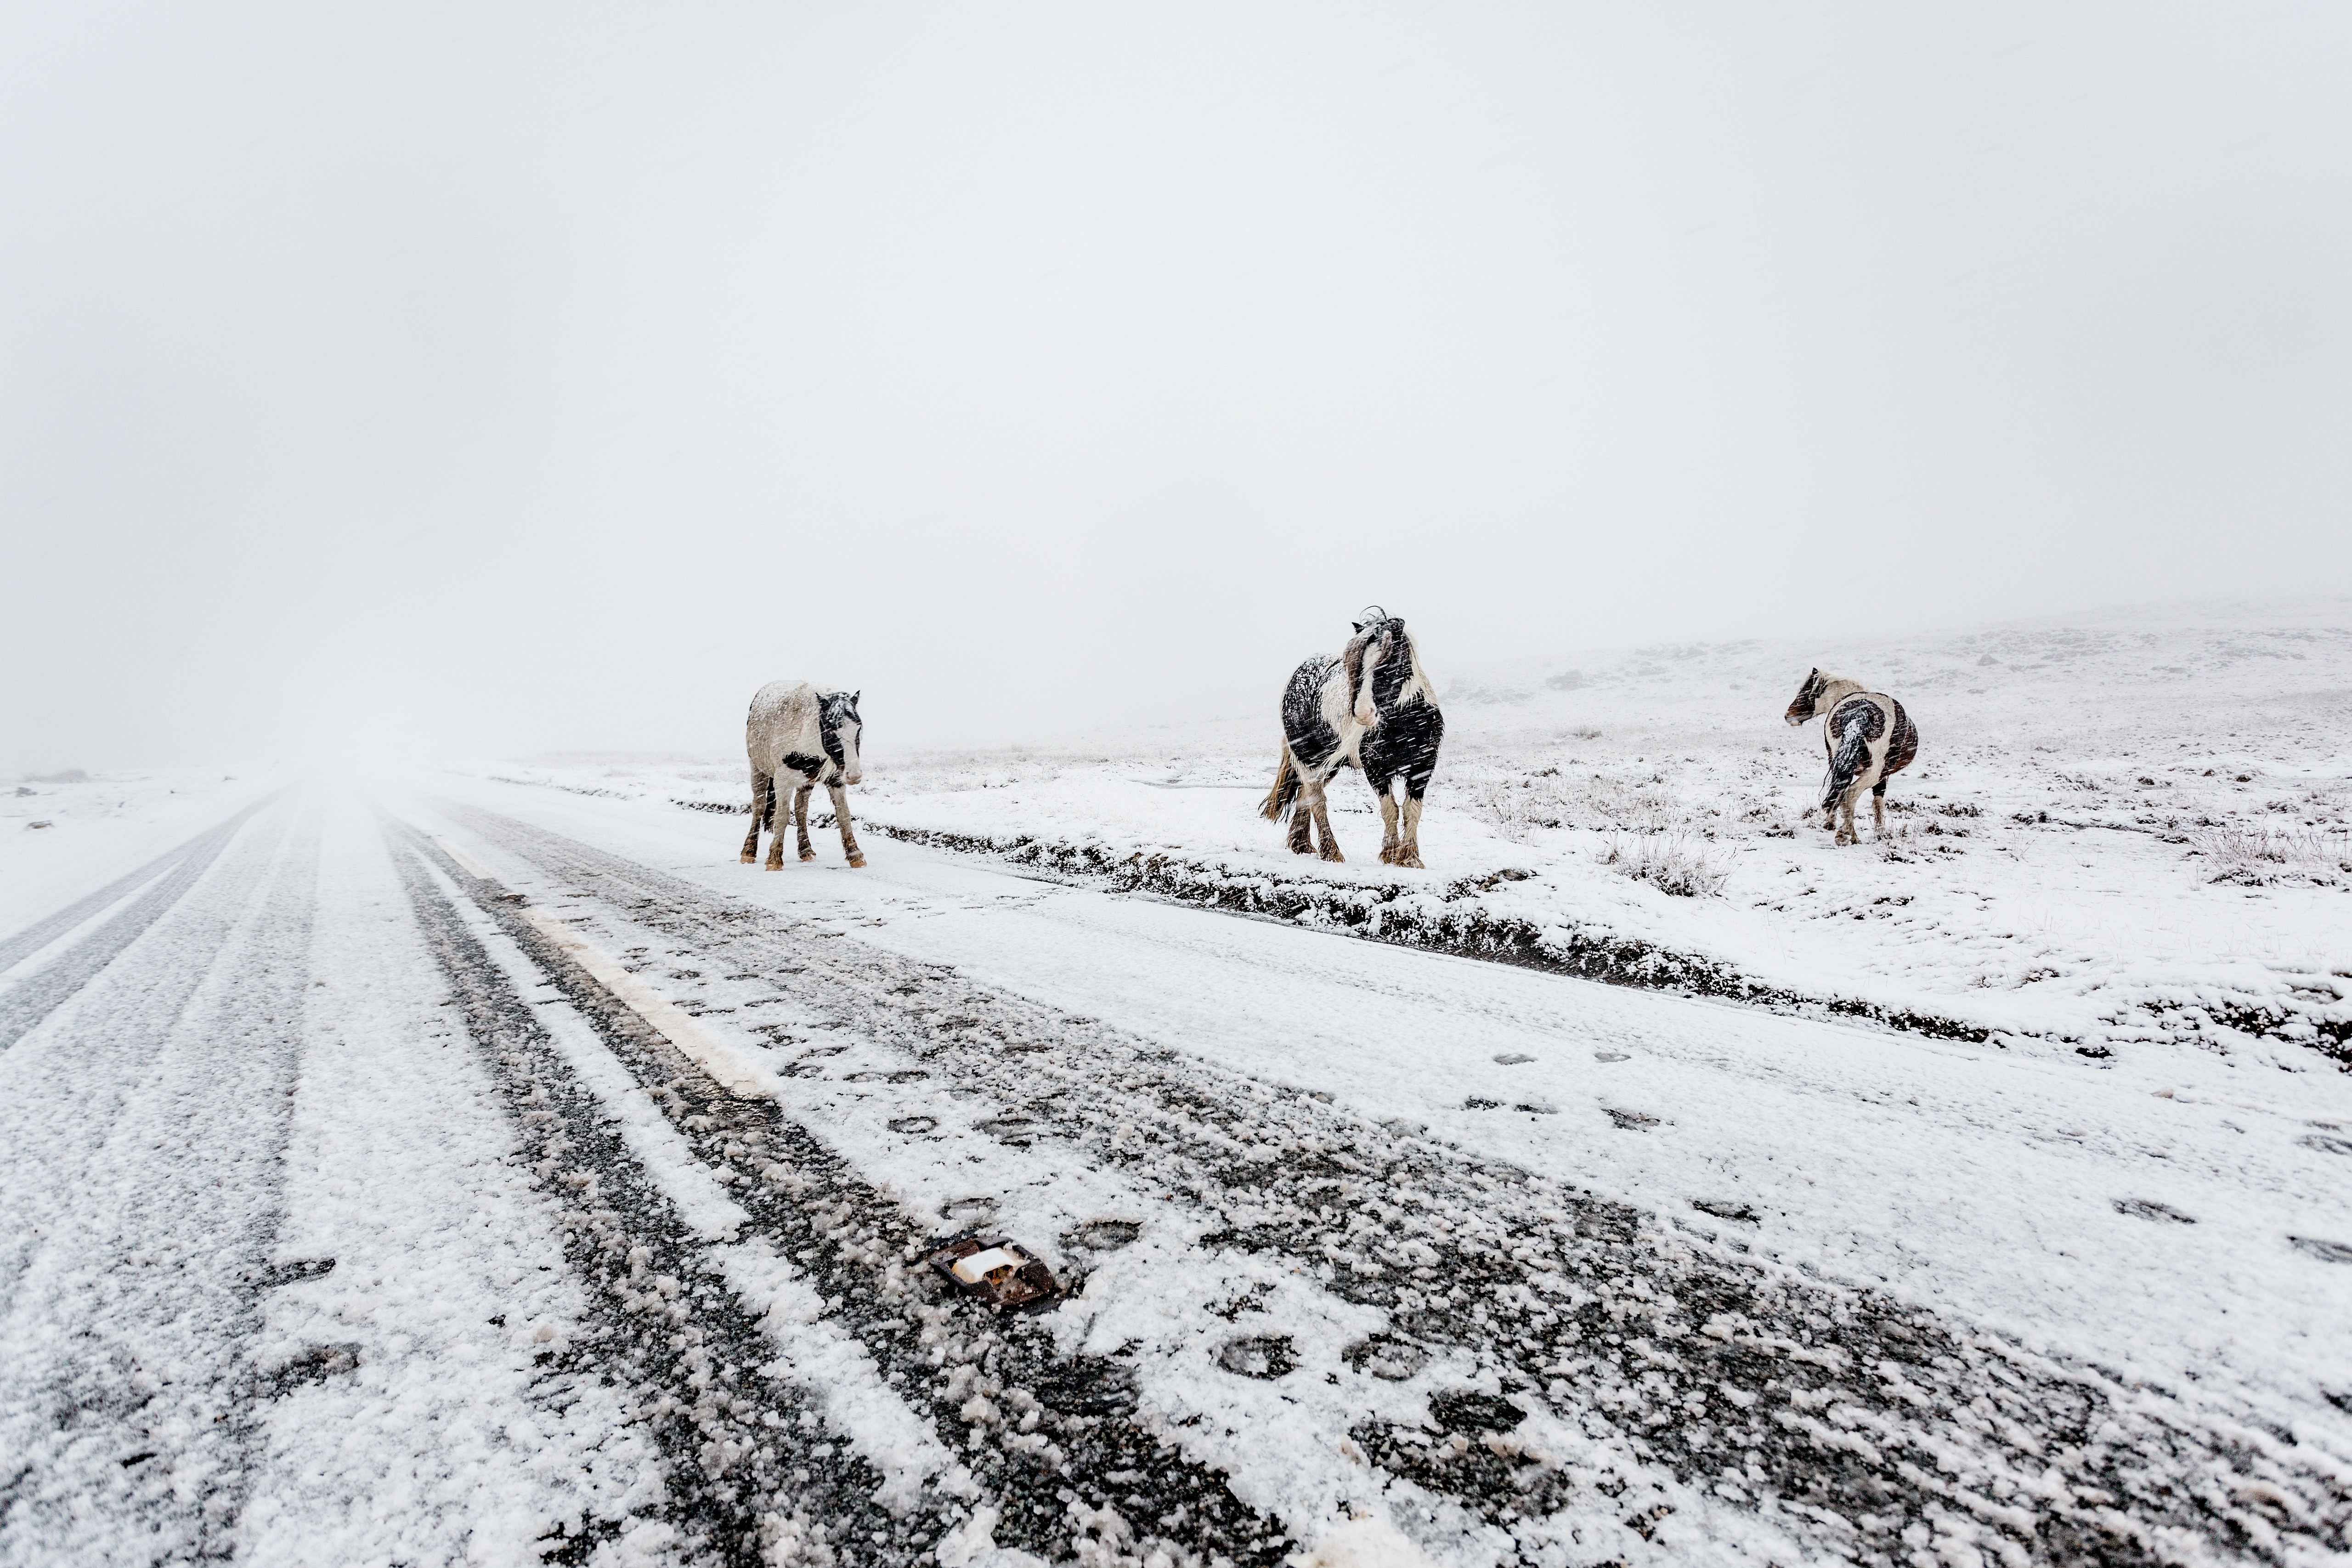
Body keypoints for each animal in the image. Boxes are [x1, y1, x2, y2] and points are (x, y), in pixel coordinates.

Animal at [734, 677, 865, 870]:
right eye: (830, 728)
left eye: (859, 727)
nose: (854, 775)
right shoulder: (782, 781)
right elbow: (781, 817)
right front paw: (774, 860)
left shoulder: (836, 779)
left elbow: (844, 815)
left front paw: (855, 855)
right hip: (758, 770)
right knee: (759, 807)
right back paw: (749, 852)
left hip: (807, 782)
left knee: (801, 810)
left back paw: (806, 851)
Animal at [1261, 611, 1439, 870]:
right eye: (1355, 666)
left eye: (1390, 661)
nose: (1363, 714)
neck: (1404, 721)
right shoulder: (1375, 767)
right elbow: (1390, 810)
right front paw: (1391, 854)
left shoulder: (1423, 765)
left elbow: (1412, 810)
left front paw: (1410, 858)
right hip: (1308, 759)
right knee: (1317, 801)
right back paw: (1330, 852)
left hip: (1330, 764)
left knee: (1306, 795)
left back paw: (1301, 844)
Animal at [1787, 672, 1919, 851]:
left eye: (1807, 691)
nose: (1788, 715)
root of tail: (1859, 713)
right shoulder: (1882, 777)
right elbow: (1878, 803)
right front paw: (1880, 834)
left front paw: (1829, 823)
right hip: (1874, 772)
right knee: (1850, 795)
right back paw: (1847, 836)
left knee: (1841, 793)